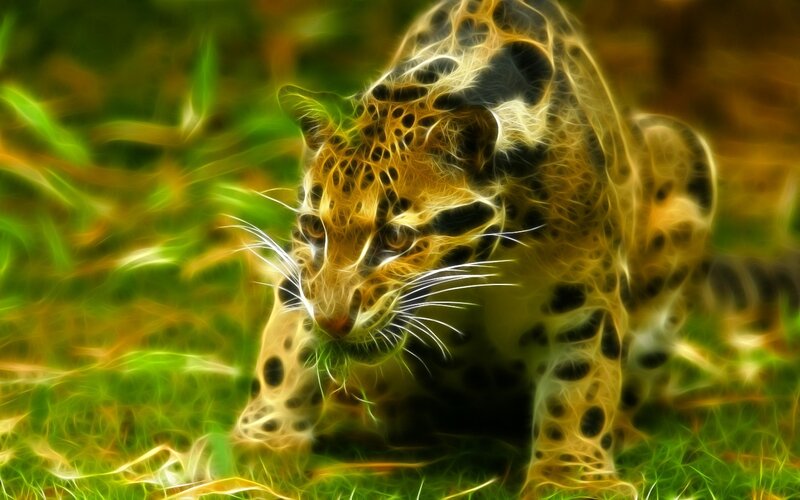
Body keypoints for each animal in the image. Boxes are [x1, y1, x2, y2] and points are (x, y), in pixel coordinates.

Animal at [232, 0, 770, 495]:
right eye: (314, 228)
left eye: (395, 238)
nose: (334, 322)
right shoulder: (302, 278)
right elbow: (284, 355)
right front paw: (263, 447)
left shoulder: (585, 299)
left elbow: (580, 388)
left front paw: (572, 480)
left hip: (681, 151)